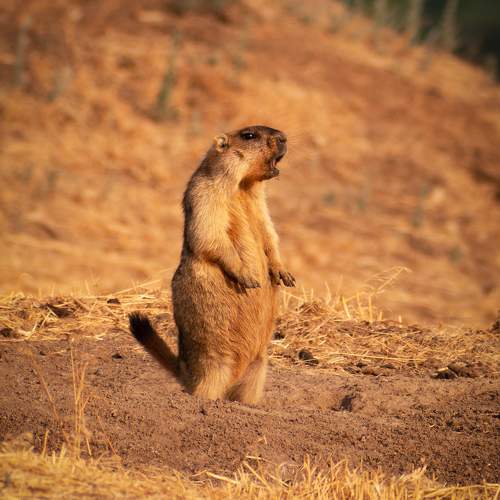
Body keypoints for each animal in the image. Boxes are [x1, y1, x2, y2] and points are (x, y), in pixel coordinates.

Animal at [129, 125, 295, 404]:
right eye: (249, 136)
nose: (284, 137)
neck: (244, 187)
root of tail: (185, 372)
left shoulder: (260, 204)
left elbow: (269, 232)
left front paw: (284, 273)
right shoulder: (205, 191)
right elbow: (210, 231)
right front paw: (248, 276)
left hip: (258, 367)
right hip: (214, 365)